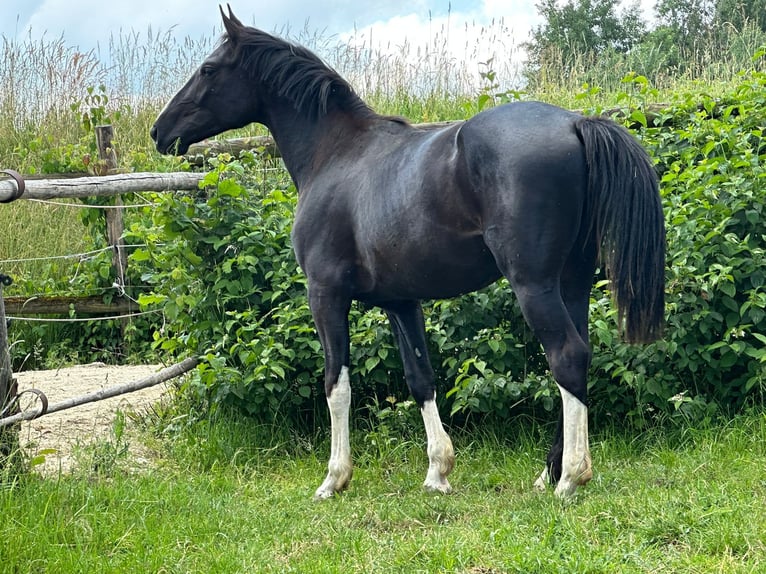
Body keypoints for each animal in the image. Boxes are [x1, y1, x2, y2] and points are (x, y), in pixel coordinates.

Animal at [152, 7, 664, 500]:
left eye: (209, 69)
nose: (160, 132)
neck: (336, 155)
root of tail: (576, 122)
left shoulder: (326, 295)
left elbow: (336, 383)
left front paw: (334, 479)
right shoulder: (401, 302)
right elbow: (421, 377)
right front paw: (438, 472)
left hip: (533, 285)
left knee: (566, 356)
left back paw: (570, 479)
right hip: (572, 284)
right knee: (579, 356)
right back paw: (548, 473)